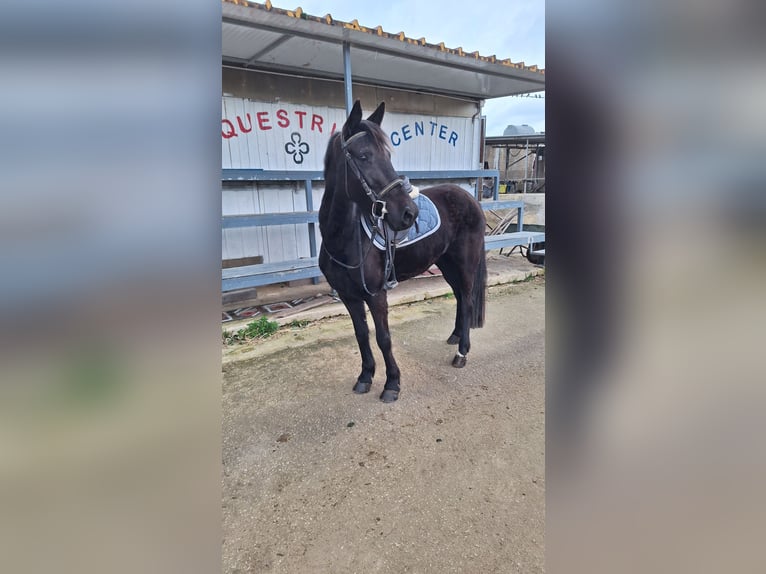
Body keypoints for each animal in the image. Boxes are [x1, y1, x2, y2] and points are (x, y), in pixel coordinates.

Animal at [318, 100, 487, 402]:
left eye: (387, 155)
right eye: (364, 156)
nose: (409, 213)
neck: (345, 237)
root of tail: (469, 197)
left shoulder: (376, 296)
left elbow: (383, 338)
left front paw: (392, 384)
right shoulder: (350, 296)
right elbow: (361, 335)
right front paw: (365, 377)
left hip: (466, 264)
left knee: (467, 300)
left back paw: (461, 353)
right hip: (446, 264)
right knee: (459, 298)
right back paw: (455, 336)